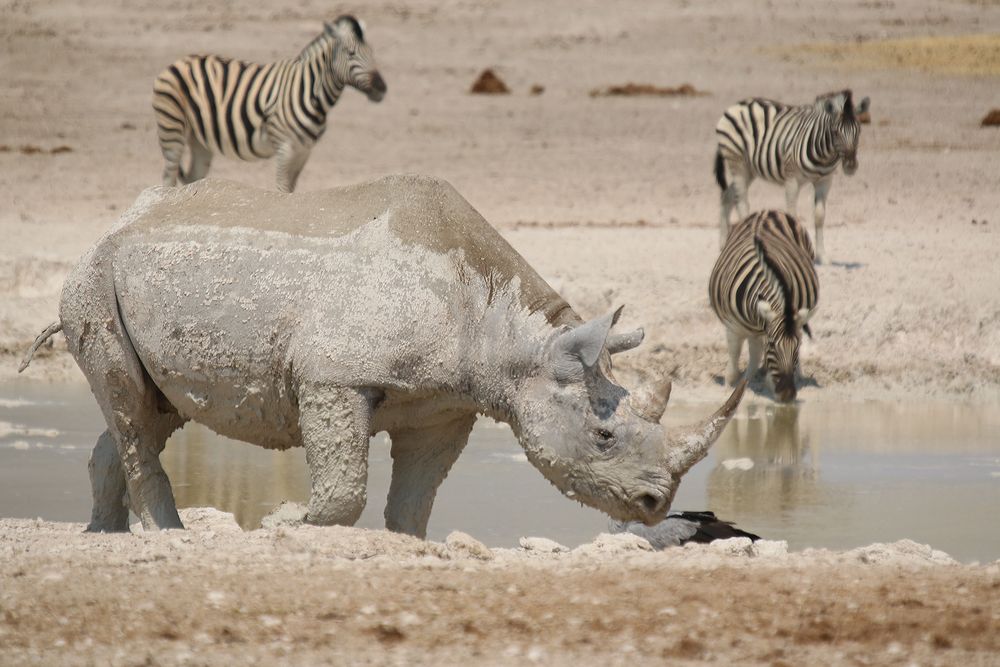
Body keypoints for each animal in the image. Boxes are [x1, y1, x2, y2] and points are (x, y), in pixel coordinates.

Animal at [152, 15, 386, 193]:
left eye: (372, 52)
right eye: (351, 53)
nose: (382, 88)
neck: (308, 89)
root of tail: (177, 62)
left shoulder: (304, 151)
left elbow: (291, 189)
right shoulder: (285, 148)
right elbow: (282, 189)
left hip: (200, 140)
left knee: (193, 176)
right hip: (172, 128)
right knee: (168, 175)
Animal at [708, 211, 816, 404]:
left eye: (797, 347)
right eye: (772, 345)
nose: (787, 394)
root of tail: (767, 211)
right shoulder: (733, 326)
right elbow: (735, 354)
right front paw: (730, 385)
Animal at [716, 88, 872, 264]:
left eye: (859, 131)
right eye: (836, 132)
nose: (850, 166)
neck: (824, 155)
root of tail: (737, 104)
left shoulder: (825, 181)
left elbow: (819, 216)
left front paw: (823, 256)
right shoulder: (792, 179)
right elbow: (792, 215)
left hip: (749, 170)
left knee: (727, 195)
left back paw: (723, 244)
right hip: (738, 163)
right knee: (741, 202)